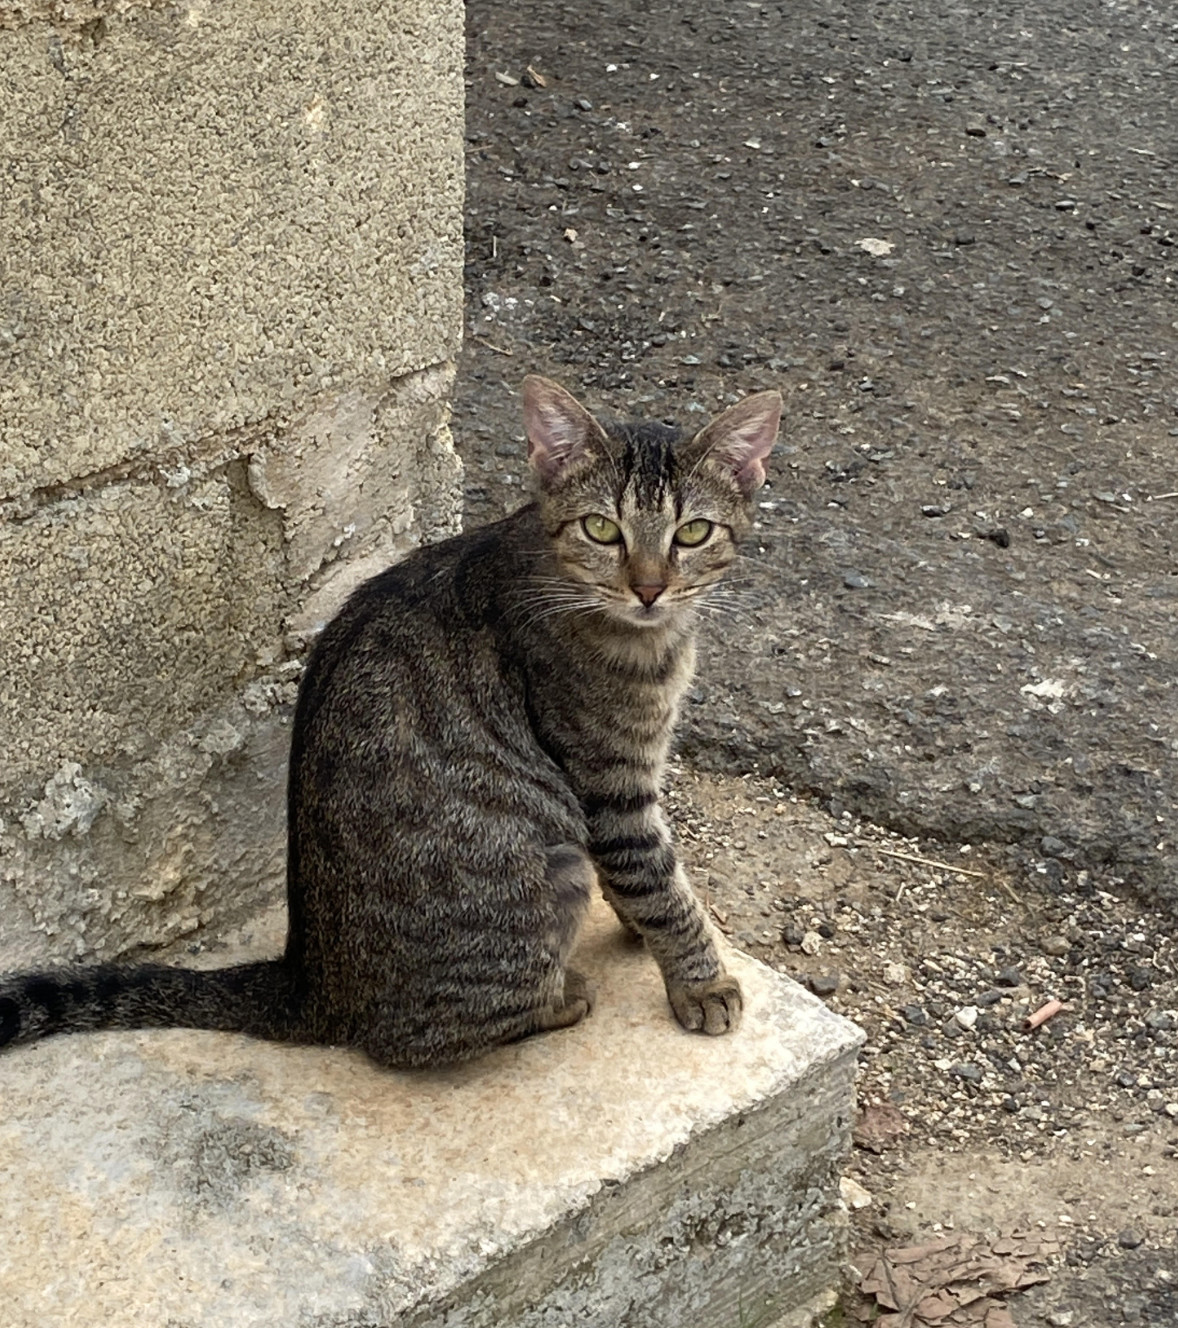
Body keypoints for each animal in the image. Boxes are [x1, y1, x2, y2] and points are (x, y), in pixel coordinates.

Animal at [2, 377, 780, 1067]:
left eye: (693, 533)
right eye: (600, 528)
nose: (649, 588)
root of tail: (310, 984)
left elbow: (644, 878)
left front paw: (643, 933)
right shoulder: (609, 782)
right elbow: (658, 881)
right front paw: (701, 981)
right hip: (545, 872)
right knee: (418, 1042)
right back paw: (562, 997)